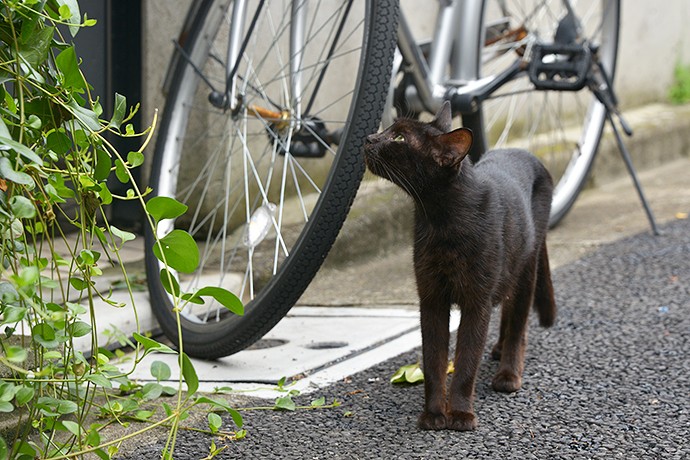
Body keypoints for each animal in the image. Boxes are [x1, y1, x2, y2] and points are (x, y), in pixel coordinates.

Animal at [362, 102, 556, 430]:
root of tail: (528, 154)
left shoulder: (476, 301)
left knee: (519, 322)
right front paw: (434, 414)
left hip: (525, 268)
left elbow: (466, 361)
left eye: (399, 138)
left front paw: (461, 414)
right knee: (507, 309)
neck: (440, 220)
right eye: (389, 130)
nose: (368, 138)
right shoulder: (431, 300)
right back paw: (499, 348)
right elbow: (434, 361)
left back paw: (508, 373)